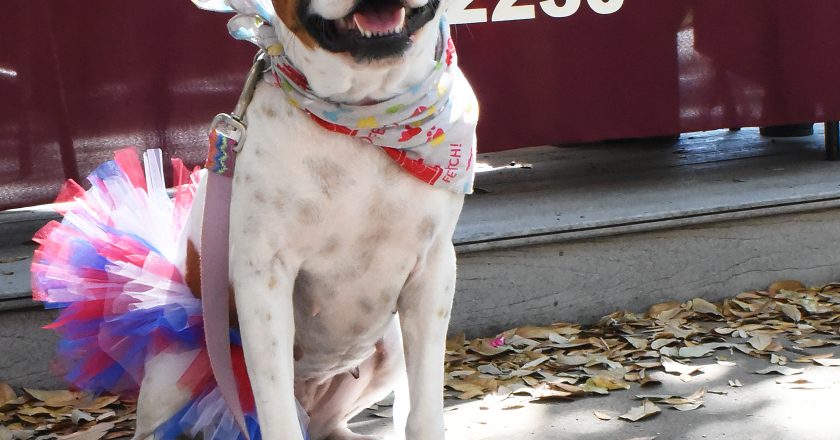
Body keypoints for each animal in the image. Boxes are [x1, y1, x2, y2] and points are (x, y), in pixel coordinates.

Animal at [132, 0, 480, 440]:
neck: (365, 117)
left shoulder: (432, 270)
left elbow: (424, 408)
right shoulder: (264, 278)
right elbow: (277, 411)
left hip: (389, 351)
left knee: (328, 423)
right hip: (176, 369)